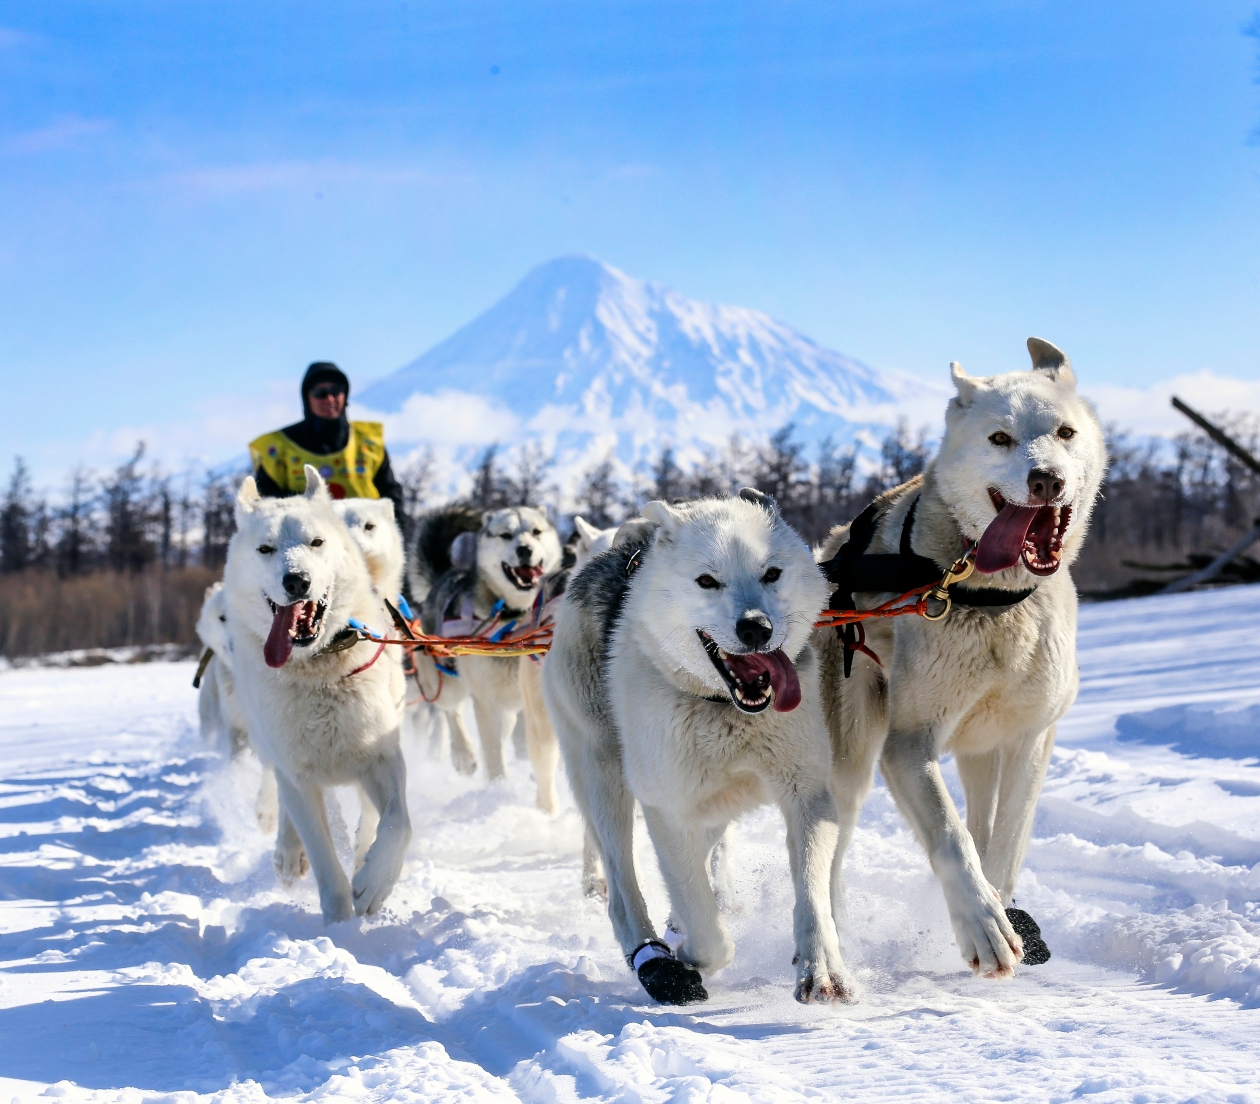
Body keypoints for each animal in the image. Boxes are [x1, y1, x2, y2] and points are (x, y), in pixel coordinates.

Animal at [221, 466, 408, 922]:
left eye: (316, 543)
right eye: (265, 548)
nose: (296, 579)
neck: (318, 671)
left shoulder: (383, 756)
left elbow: (397, 823)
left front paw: (374, 880)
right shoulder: (299, 778)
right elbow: (325, 862)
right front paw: (340, 928)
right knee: (282, 793)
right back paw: (288, 852)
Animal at [544, 491, 856, 1008]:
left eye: (772, 573)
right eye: (707, 581)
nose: (755, 628)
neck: (724, 707)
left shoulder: (808, 796)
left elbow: (812, 896)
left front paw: (822, 969)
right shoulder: (667, 811)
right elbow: (709, 930)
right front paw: (691, 954)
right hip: (606, 782)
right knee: (622, 888)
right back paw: (654, 959)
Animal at [816, 335, 1103, 972]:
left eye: (1065, 432)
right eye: (999, 438)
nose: (1045, 480)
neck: (990, 596)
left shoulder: (1030, 738)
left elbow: (1007, 839)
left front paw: (1002, 906)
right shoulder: (907, 745)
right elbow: (951, 836)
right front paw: (981, 922)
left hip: (978, 749)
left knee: (982, 815)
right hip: (853, 760)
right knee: (835, 847)